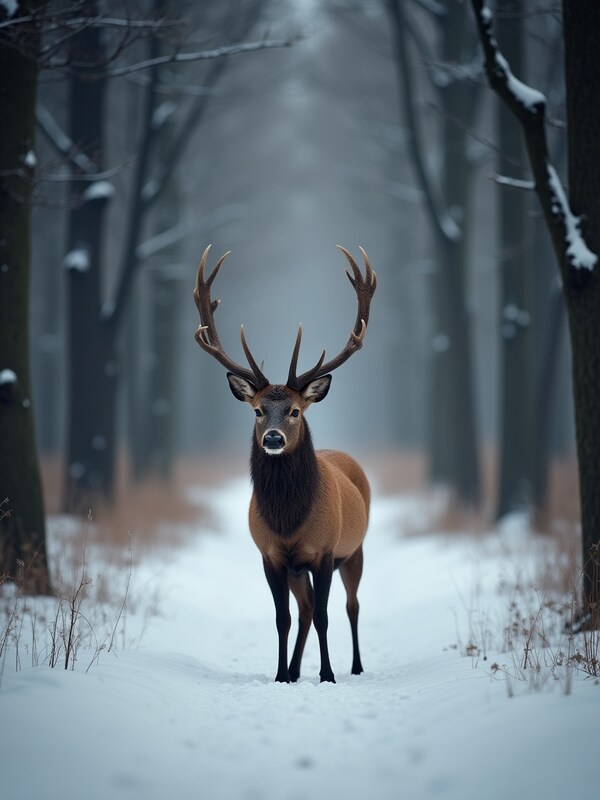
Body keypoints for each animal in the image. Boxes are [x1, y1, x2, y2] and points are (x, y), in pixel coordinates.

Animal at [193, 244, 377, 683]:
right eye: (258, 410)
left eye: (294, 411)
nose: (273, 439)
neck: (288, 519)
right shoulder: (272, 555)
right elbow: (283, 619)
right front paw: (280, 675)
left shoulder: (324, 551)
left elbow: (327, 615)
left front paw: (327, 675)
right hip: (299, 569)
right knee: (305, 609)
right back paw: (294, 670)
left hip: (356, 548)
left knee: (351, 606)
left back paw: (356, 666)